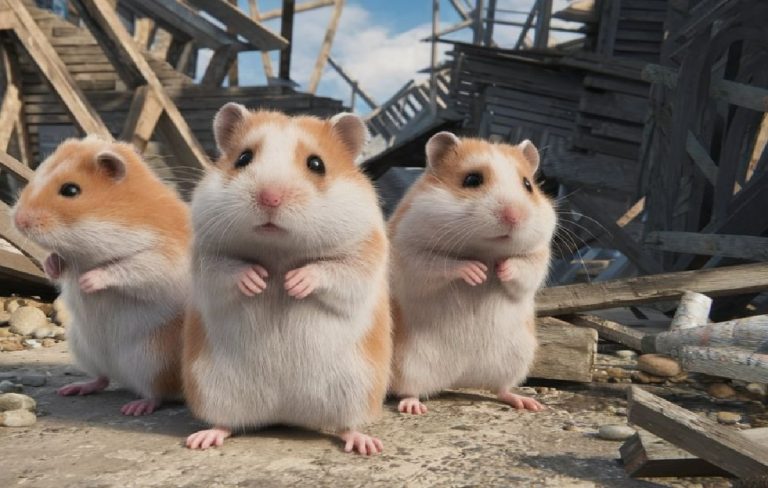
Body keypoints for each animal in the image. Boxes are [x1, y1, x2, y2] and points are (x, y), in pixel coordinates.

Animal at [12, 136, 191, 416]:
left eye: (71, 190)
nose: (18, 220)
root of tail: (123, 377)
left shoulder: (162, 258)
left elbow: (126, 268)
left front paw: (86, 282)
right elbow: (56, 264)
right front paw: (55, 265)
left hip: (154, 362)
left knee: (158, 393)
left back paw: (136, 407)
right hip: (84, 349)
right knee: (102, 379)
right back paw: (73, 389)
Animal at [182, 104, 392, 454]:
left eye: (317, 164)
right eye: (243, 159)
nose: (270, 198)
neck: (279, 250)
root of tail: (285, 414)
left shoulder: (364, 254)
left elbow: (332, 271)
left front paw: (293, 283)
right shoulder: (206, 256)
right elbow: (228, 270)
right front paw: (259, 281)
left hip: (358, 390)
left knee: (346, 425)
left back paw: (366, 445)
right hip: (211, 388)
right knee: (226, 422)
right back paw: (202, 439)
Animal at [389, 132, 556, 414]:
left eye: (528, 185)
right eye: (472, 180)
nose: (514, 216)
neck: (484, 248)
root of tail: (460, 378)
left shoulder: (538, 255)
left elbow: (523, 270)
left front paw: (499, 269)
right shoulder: (411, 254)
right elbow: (442, 265)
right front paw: (479, 273)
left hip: (515, 359)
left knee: (501, 388)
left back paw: (528, 403)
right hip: (409, 364)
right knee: (410, 389)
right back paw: (413, 407)